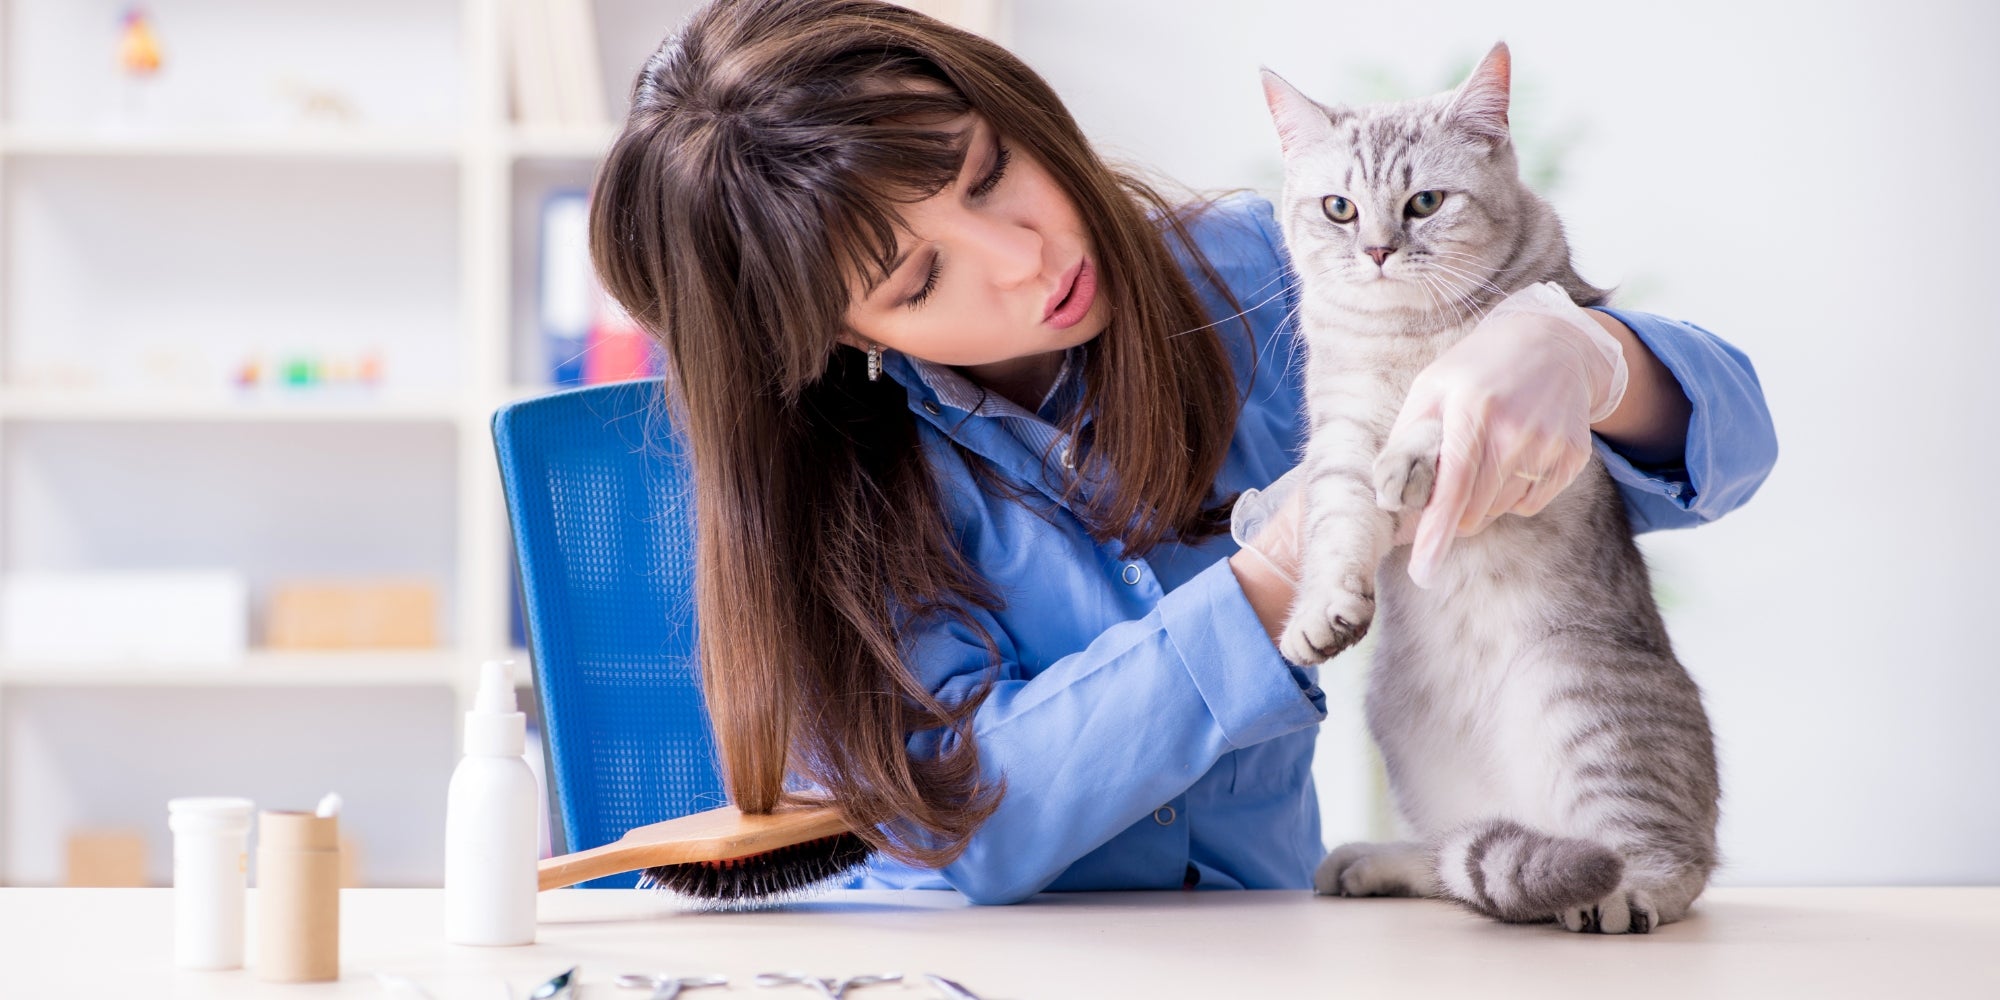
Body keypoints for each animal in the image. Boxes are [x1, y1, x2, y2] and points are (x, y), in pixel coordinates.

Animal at [1264, 45, 1720, 936]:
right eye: (1339, 208)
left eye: (1425, 202)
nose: (1376, 250)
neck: (1404, 336)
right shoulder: (1339, 433)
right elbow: (1338, 519)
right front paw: (1322, 609)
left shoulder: (1511, 363)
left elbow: (1451, 407)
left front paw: (1416, 452)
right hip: (1408, 738)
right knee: (1454, 857)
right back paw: (1375, 863)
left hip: (1578, 699)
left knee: (1667, 862)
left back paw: (1625, 894)